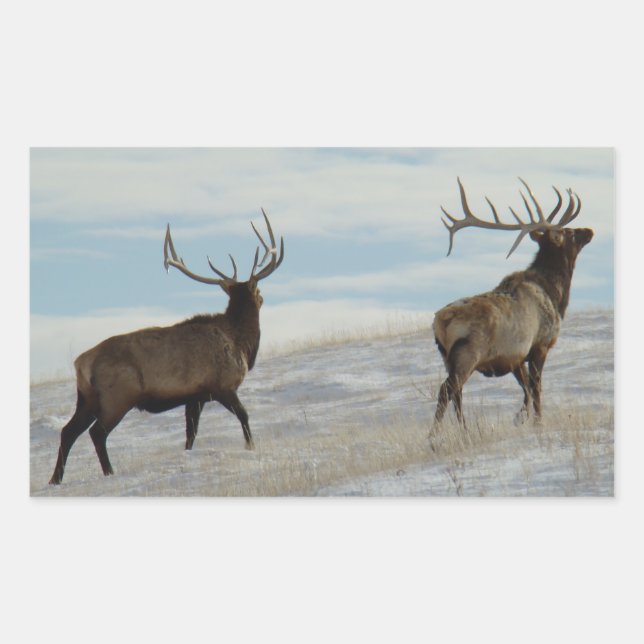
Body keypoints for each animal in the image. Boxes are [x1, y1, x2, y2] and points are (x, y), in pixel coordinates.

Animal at [49, 209, 284, 485]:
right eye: (257, 290)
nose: (263, 297)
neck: (241, 343)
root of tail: (80, 364)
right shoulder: (222, 386)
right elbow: (244, 415)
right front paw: (250, 446)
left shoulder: (195, 396)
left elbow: (190, 434)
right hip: (117, 396)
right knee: (97, 433)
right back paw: (109, 471)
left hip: (86, 399)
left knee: (67, 431)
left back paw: (55, 479)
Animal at [432, 178, 593, 429]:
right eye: (567, 232)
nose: (588, 230)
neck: (556, 295)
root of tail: (441, 321)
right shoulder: (540, 344)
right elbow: (536, 388)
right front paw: (537, 421)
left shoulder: (515, 356)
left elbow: (525, 389)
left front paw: (521, 417)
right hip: (468, 353)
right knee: (446, 390)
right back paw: (435, 434)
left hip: (447, 357)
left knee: (456, 394)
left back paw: (464, 430)